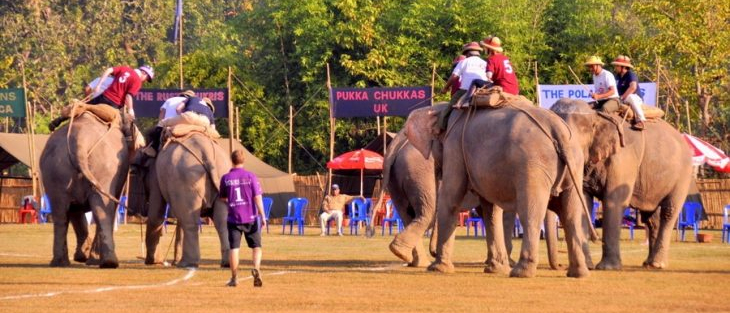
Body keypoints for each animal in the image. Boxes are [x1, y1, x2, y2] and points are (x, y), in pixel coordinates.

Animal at [41, 111, 136, 266]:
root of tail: (79, 140)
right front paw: (84, 256)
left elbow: (74, 210)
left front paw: (81, 256)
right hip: (104, 170)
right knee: (102, 211)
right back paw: (106, 262)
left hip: (54, 170)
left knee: (60, 213)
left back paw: (60, 262)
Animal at [141, 130, 232, 266]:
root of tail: (207, 153)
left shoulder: (156, 175)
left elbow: (156, 214)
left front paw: (152, 261)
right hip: (222, 175)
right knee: (222, 221)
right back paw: (226, 263)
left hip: (186, 178)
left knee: (190, 220)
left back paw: (187, 263)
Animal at [406, 100, 596, 278]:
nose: (433, 254)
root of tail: (557, 129)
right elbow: (490, 209)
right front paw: (495, 269)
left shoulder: (454, 146)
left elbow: (451, 197)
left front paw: (437, 268)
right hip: (574, 163)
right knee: (570, 214)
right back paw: (578, 273)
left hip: (533, 165)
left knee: (530, 213)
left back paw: (520, 272)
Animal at [548, 98, 692, 270]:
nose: (561, 266)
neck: (597, 116)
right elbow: (582, 201)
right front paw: (588, 266)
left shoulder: (623, 156)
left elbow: (614, 201)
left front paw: (606, 268)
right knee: (650, 217)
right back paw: (648, 264)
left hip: (683, 174)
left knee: (669, 211)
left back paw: (657, 264)